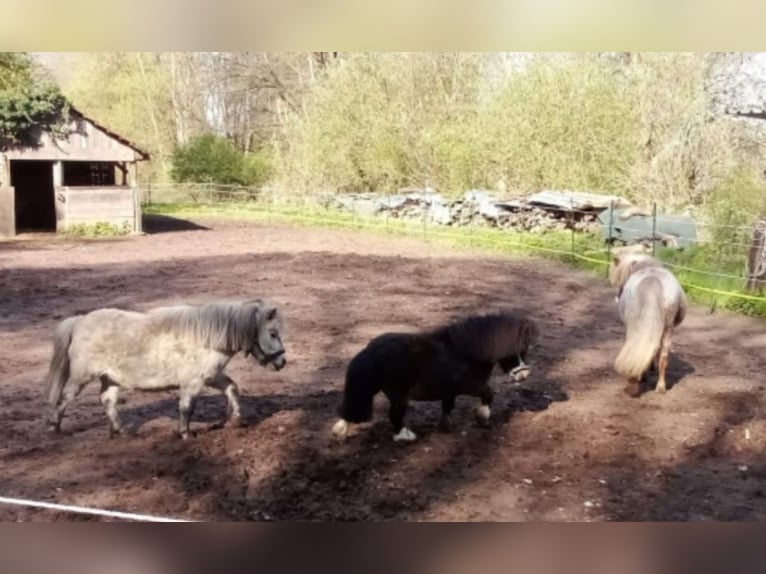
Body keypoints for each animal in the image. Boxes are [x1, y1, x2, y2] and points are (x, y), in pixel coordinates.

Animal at [48, 300, 288, 438]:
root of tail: (79, 322)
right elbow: (187, 408)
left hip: (111, 378)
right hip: (81, 377)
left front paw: (236, 420)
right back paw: (55, 428)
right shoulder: (193, 383)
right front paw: (185, 434)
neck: (206, 338)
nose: (282, 362)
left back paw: (121, 431)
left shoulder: (211, 377)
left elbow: (232, 388)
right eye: (273, 333)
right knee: (64, 398)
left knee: (108, 402)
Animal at [332, 312, 540, 444]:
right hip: (399, 395)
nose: (524, 374)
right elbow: (489, 395)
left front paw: (445, 426)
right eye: (519, 349)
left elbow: (447, 406)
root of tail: (370, 351)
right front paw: (483, 418)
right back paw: (405, 436)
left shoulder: (449, 390)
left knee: (354, 407)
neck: (467, 352)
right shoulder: (473, 386)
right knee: (395, 415)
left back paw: (340, 431)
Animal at [612, 254, 688, 398]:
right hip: (667, 328)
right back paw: (660, 387)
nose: (618, 296)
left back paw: (638, 379)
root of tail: (653, 280)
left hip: (634, 326)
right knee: (663, 356)